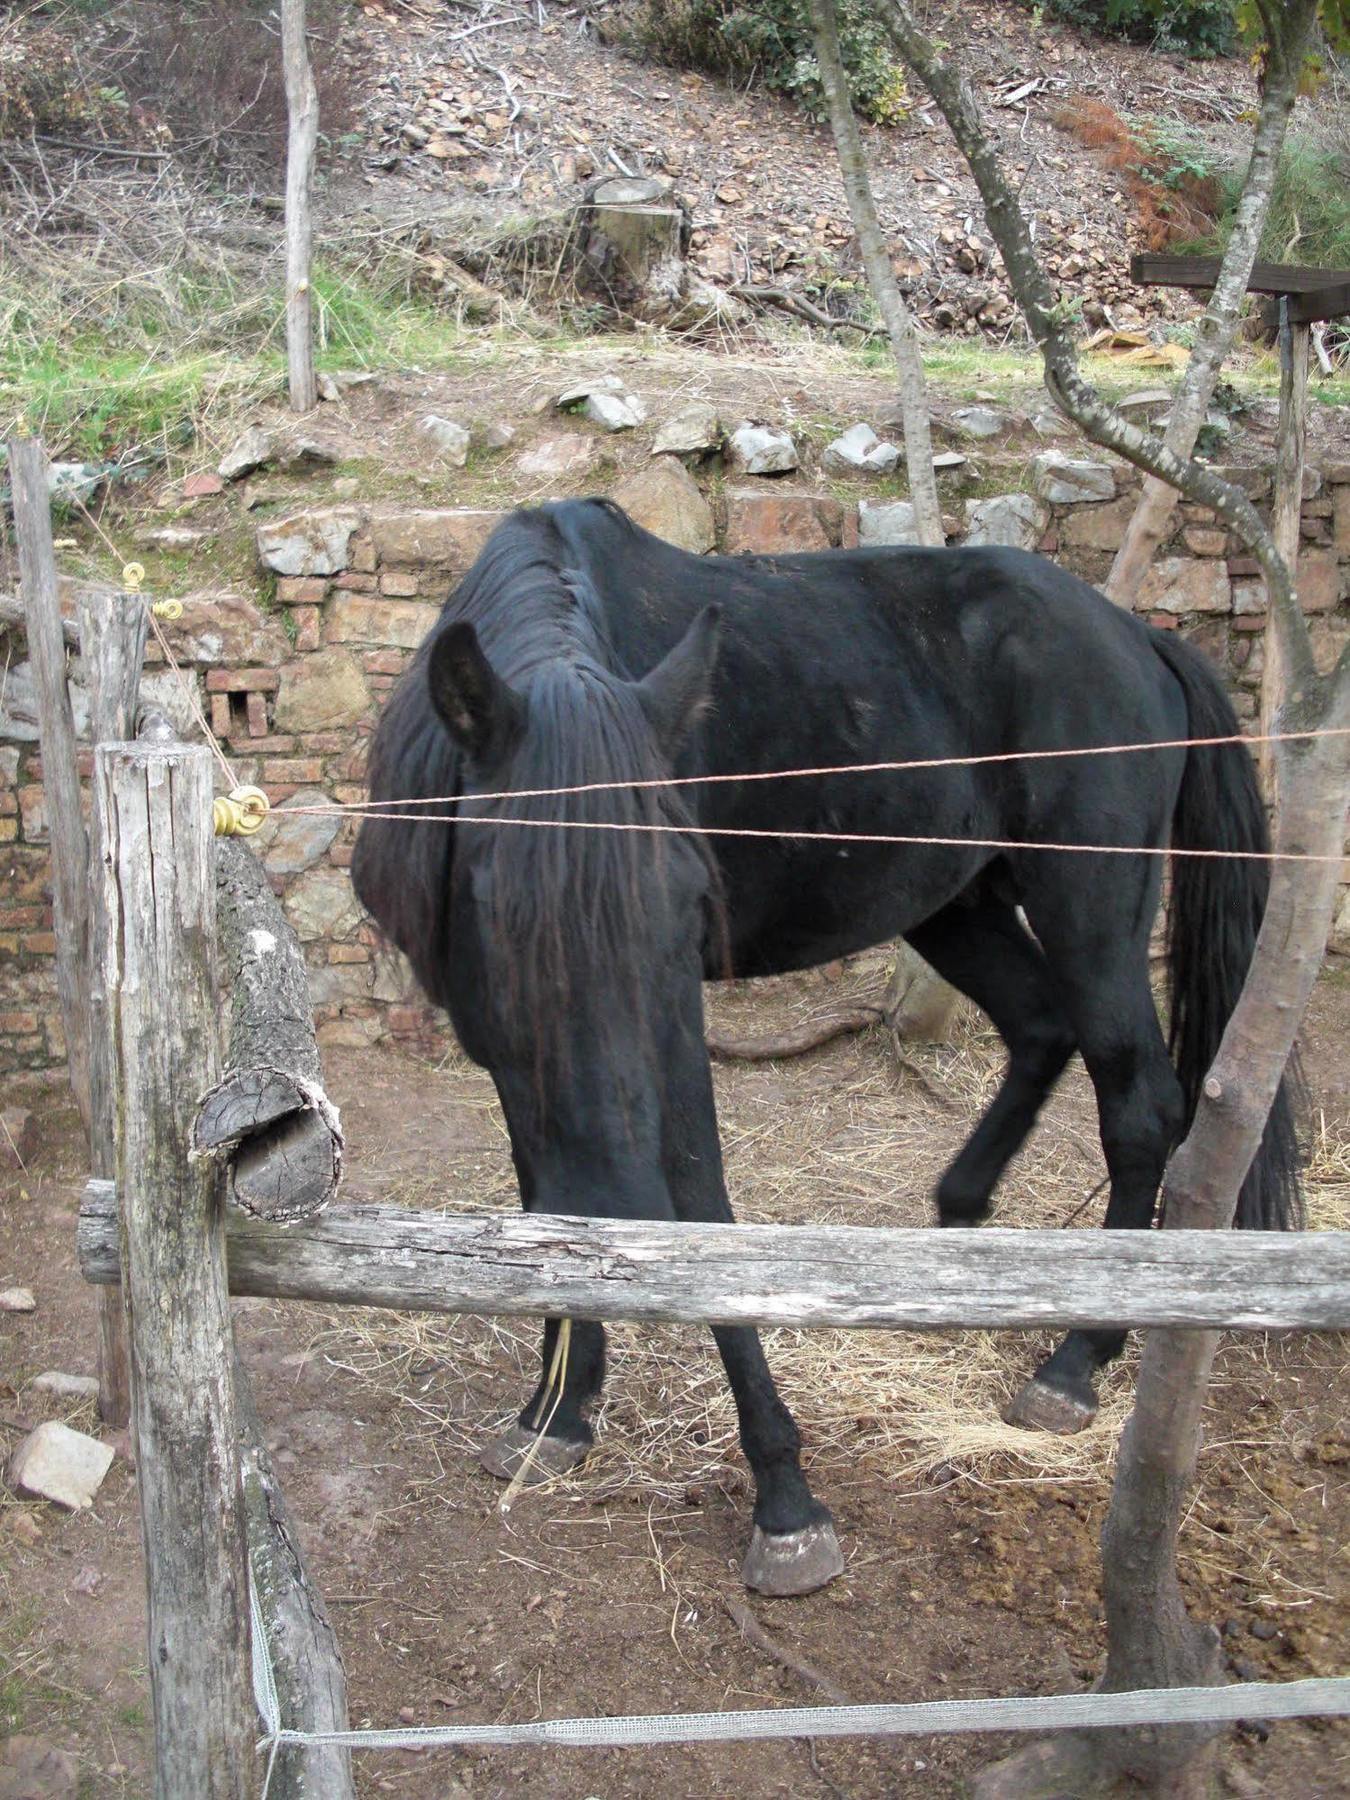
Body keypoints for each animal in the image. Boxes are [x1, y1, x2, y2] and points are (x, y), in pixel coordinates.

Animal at [354, 500, 1303, 1598]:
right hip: (956, 900)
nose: (622, 1213)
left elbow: (701, 1201)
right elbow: (542, 1195)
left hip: (1091, 905)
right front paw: (556, 1411)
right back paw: (958, 1233)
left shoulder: (671, 1022)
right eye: (499, 910)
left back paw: (1076, 1359)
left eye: (688, 900)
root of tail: (1135, 635)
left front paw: (784, 1498)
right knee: (1040, 1030)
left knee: (1139, 1103)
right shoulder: (503, 1036)